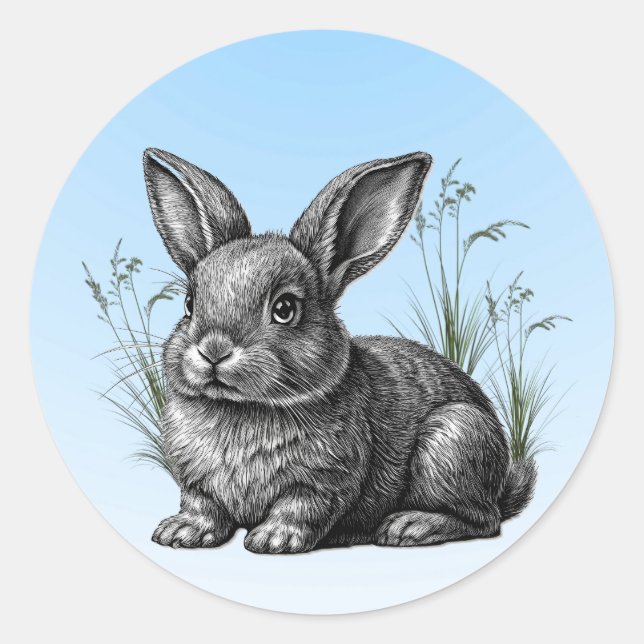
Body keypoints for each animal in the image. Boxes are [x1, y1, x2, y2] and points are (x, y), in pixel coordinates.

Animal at [143, 148, 536, 553]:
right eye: (190, 304)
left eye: (284, 309)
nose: (214, 351)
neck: (241, 409)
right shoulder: (196, 482)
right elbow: (202, 505)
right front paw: (180, 532)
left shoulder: (324, 480)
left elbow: (301, 506)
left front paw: (274, 539)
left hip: (453, 440)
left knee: (484, 520)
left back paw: (410, 526)